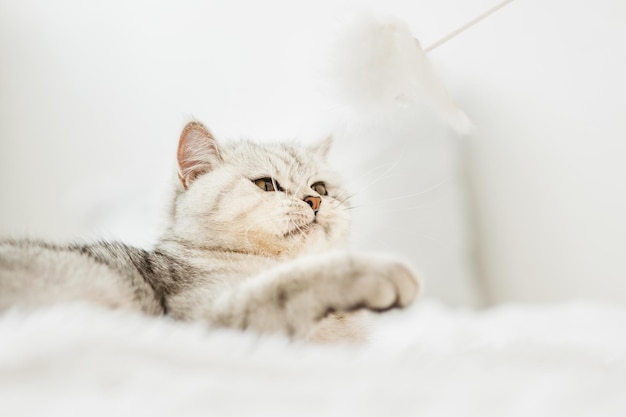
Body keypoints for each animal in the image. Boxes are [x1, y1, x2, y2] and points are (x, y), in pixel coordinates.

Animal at [2, 119, 420, 342]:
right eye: (267, 185)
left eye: (320, 188)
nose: (315, 202)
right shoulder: (211, 320)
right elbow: (295, 282)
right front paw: (382, 273)